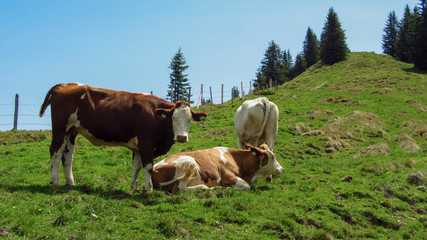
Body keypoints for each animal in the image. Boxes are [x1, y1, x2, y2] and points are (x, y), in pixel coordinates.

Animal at [39, 83, 207, 192]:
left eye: (190, 119)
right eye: (173, 118)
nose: (181, 137)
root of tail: (65, 84)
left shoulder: (138, 147)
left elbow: (136, 166)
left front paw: (134, 187)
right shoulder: (146, 143)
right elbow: (148, 167)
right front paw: (148, 189)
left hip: (71, 132)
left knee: (67, 157)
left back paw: (71, 183)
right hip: (61, 129)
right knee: (56, 153)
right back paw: (55, 182)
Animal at [150, 142, 284, 193]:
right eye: (273, 157)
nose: (282, 169)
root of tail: (153, 168)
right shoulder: (227, 176)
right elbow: (246, 186)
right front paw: (229, 187)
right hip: (190, 162)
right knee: (180, 188)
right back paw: (207, 187)